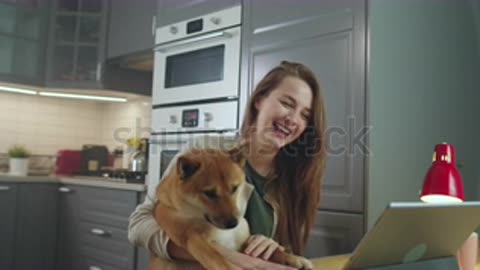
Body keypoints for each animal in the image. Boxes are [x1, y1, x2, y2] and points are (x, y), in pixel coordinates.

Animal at [152, 148, 314, 270]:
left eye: (235, 188)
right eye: (209, 193)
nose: (232, 223)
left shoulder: (245, 242)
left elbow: (273, 252)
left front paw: (294, 259)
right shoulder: (193, 239)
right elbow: (218, 259)